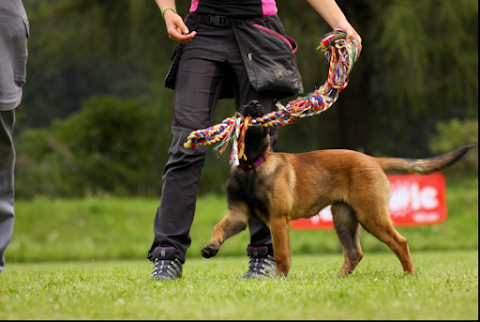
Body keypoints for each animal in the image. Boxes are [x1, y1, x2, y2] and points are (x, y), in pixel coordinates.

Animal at [201, 100, 474, 276]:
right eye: (241, 107)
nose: (255, 103)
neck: (252, 166)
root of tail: (374, 160)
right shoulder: (238, 214)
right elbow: (219, 227)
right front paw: (211, 247)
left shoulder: (278, 219)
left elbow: (280, 253)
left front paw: (279, 279)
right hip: (344, 217)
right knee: (354, 252)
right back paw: (340, 278)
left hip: (371, 214)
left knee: (400, 241)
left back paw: (410, 274)